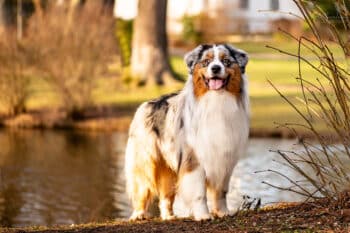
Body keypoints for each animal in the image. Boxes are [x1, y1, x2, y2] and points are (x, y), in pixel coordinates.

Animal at [124, 43, 250, 220]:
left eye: (226, 61)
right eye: (206, 62)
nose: (216, 68)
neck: (216, 100)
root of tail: (145, 104)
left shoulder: (224, 158)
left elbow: (221, 191)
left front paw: (222, 212)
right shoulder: (194, 158)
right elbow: (199, 193)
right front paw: (203, 215)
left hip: (168, 169)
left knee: (165, 196)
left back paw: (169, 216)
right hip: (145, 162)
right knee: (142, 188)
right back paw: (139, 214)